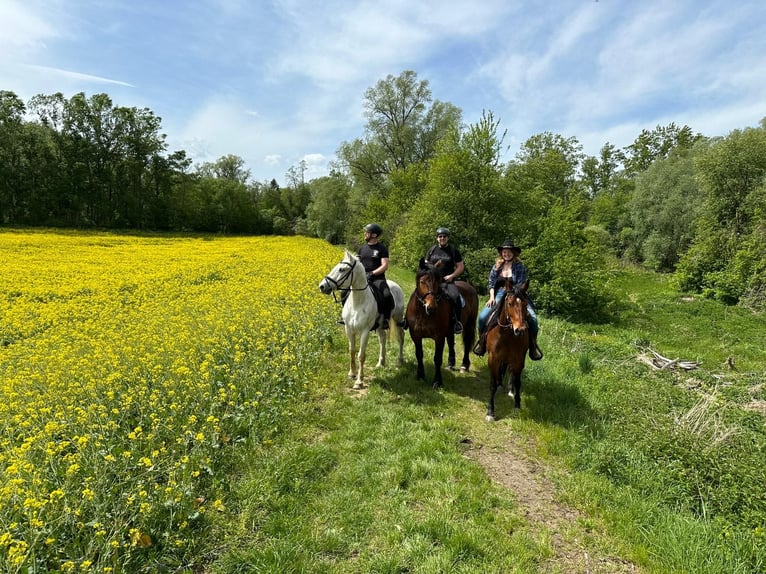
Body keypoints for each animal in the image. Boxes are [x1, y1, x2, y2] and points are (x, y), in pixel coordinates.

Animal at [320, 250, 408, 390]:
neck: (357, 301)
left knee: (400, 337)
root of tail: (396, 285)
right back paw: (381, 363)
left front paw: (359, 381)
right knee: (382, 339)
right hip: (380, 325)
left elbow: (361, 355)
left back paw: (399, 362)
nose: (322, 286)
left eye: (341, 269)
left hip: (397, 318)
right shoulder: (349, 329)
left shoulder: (365, 331)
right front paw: (352, 373)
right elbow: (352, 351)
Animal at [408, 258, 480, 390]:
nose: (431, 308)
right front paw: (420, 376)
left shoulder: (439, 337)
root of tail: (470, 287)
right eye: (422, 282)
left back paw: (464, 365)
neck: (423, 313)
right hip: (451, 329)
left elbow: (437, 359)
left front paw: (437, 382)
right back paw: (451, 363)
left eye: (437, 282)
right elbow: (419, 354)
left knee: (467, 343)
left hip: (469, 325)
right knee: (451, 342)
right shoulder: (415, 336)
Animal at [488, 280, 532, 424]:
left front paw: (517, 405)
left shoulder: (518, 359)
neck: (507, 335)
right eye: (510, 303)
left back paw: (509, 390)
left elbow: (518, 382)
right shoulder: (493, 359)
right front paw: (490, 412)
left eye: (525, 304)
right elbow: (492, 385)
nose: (521, 330)